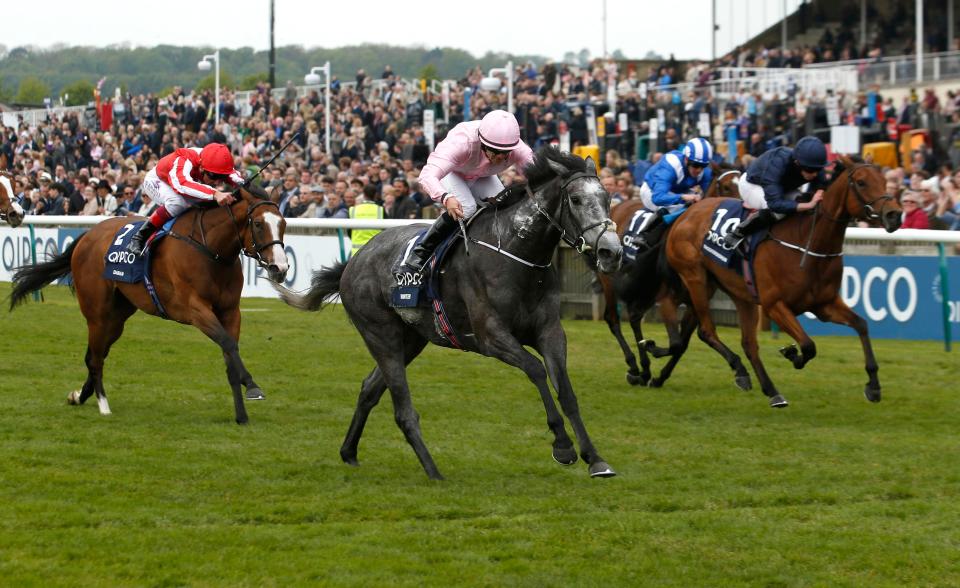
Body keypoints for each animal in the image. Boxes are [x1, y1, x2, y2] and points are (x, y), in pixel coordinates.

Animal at [7, 183, 286, 422]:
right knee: (96, 358)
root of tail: (87, 235)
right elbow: (228, 344)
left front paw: (241, 414)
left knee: (95, 354)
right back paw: (103, 404)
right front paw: (252, 385)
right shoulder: (195, 309)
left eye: (282, 223)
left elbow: (230, 354)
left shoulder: (230, 312)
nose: (280, 268)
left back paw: (80, 395)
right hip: (97, 313)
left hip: (117, 316)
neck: (212, 251)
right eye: (258, 223)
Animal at [276, 147, 624, 478]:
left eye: (607, 198)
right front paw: (563, 446)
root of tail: (354, 261)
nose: (611, 251)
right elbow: (537, 370)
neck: (516, 253)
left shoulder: (550, 331)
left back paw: (349, 452)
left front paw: (595, 459)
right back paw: (433, 471)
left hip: (411, 339)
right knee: (401, 408)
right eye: (576, 199)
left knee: (369, 389)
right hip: (380, 334)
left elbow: (565, 389)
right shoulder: (491, 336)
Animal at [600, 163, 744, 388]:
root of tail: (614, 207)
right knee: (613, 319)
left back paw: (644, 371)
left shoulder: (696, 299)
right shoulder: (670, 296)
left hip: (645, 289)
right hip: (610, 279)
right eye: (727, 187)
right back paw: (634, 366)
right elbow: (679, 341)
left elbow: (684, 342)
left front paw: (659, 377)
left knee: (634, 317)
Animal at [664, 156, 904, 408]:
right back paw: (741, 372)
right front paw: (792, 354)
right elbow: (808, 346)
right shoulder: (775, 305)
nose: (894, 214)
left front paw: (873, 386)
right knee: (707, 331)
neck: (808, 242)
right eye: (861, 182)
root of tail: (686, 214)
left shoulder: (824, 305)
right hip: (696, 279)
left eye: (884, 181)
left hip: (739, 293)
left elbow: (861, 325)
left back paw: (771, 391)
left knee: (749, 344)